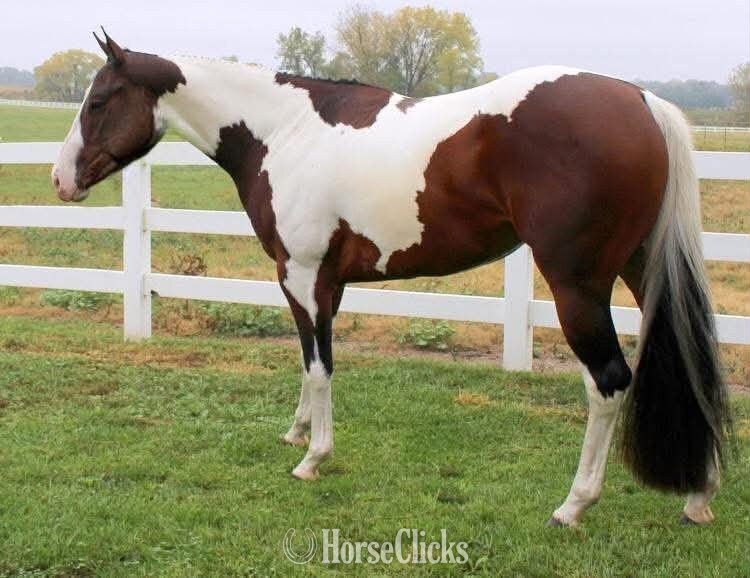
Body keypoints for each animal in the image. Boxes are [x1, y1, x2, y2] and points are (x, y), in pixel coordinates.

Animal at [52, 31, 730, 527]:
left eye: (98, 101)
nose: (61, 180)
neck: (285, 133)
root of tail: (642, 100)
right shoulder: (325, 282)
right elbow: (309, 360)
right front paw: (298, 433)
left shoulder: (301, 275)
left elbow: (320, 365)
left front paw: (314, 458)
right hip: (641, 268)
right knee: (692, 359)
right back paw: (699, 496)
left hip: (578, 287)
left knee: (608, 383)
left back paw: (574, 504)